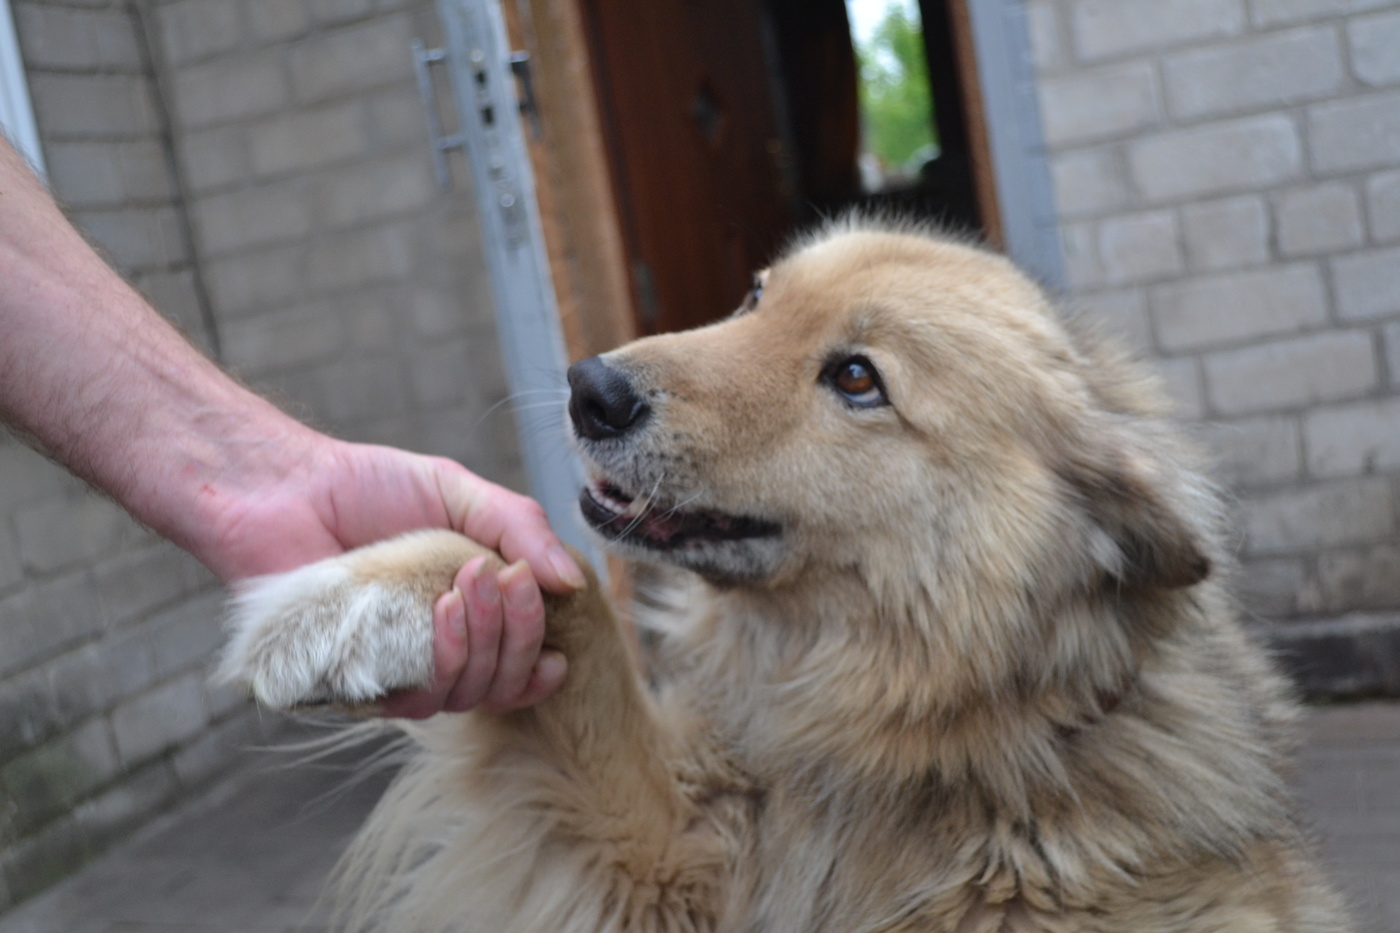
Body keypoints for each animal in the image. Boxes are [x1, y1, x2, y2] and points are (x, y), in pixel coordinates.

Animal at [221, 219, 1355, 930]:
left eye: (856, 378)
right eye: (757, 293)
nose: (590, 389)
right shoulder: (662, 868)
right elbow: (566, 588)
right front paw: (356, 600)